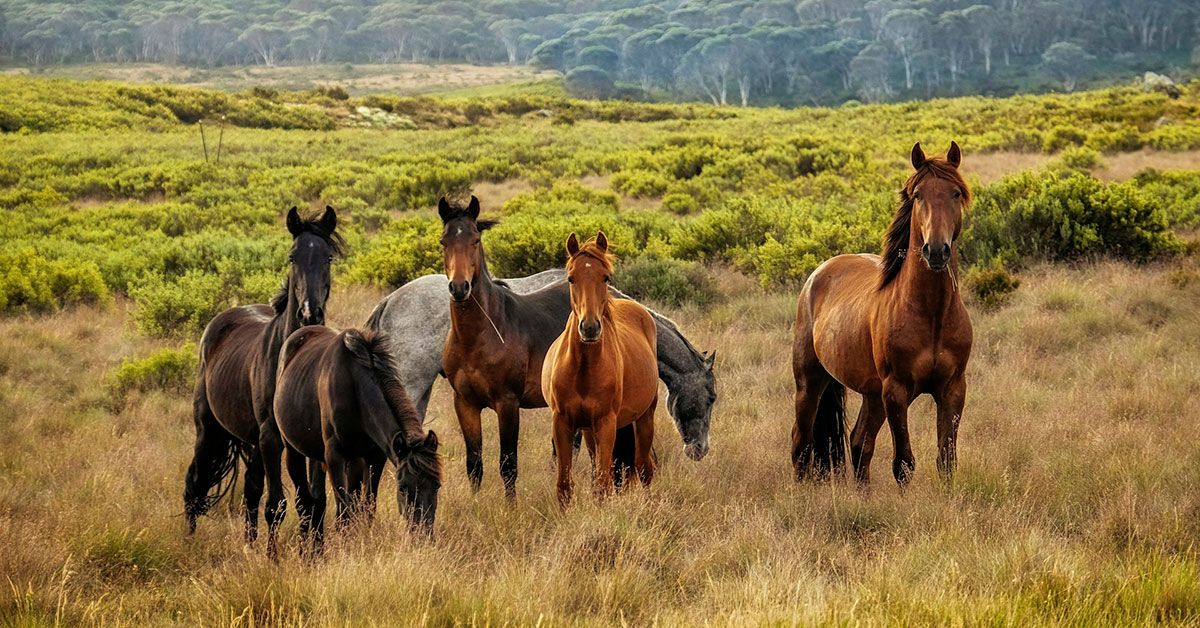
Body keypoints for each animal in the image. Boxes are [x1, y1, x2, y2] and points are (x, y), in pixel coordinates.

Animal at [184, 206, 342, 541]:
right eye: (293, 256)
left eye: (328, 258)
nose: (309, 313)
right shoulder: (271, 437)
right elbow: (277, 505)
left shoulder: (308, 441)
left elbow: (314, 503)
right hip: (209, 431)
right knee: (194, 484)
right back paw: (189, 541)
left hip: (252, 443)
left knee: (250, 492)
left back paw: (249, 543)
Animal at [270, 325, 441, 555]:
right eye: (403, 487)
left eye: (437, 486)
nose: (423, 537)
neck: (355, 387)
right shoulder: (335, 457)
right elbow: (344, 510)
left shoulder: (374, 457)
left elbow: (367, 506)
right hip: (293, 451)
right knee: (304, 502)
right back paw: (308, 551)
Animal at [542, 233, 658, 506]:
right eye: (571, 278)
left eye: (605, 276)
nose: (590, 328)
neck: (583, 369)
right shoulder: (563, 422)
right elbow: (565, 485)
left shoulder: (606, 423)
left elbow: (603, 485)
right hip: (588, 430)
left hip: (645, 418)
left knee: (644, 468)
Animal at [791, 142, 973, 485]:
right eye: (918, 195)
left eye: (955, 193)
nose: (936, 251)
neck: (931, 314)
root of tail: (819, 273)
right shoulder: (896, 392)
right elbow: (903, 464)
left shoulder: (952, 390)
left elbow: (947, 460)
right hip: (810, 382)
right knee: (801, 443)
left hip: (872, 395)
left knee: (859, 442)